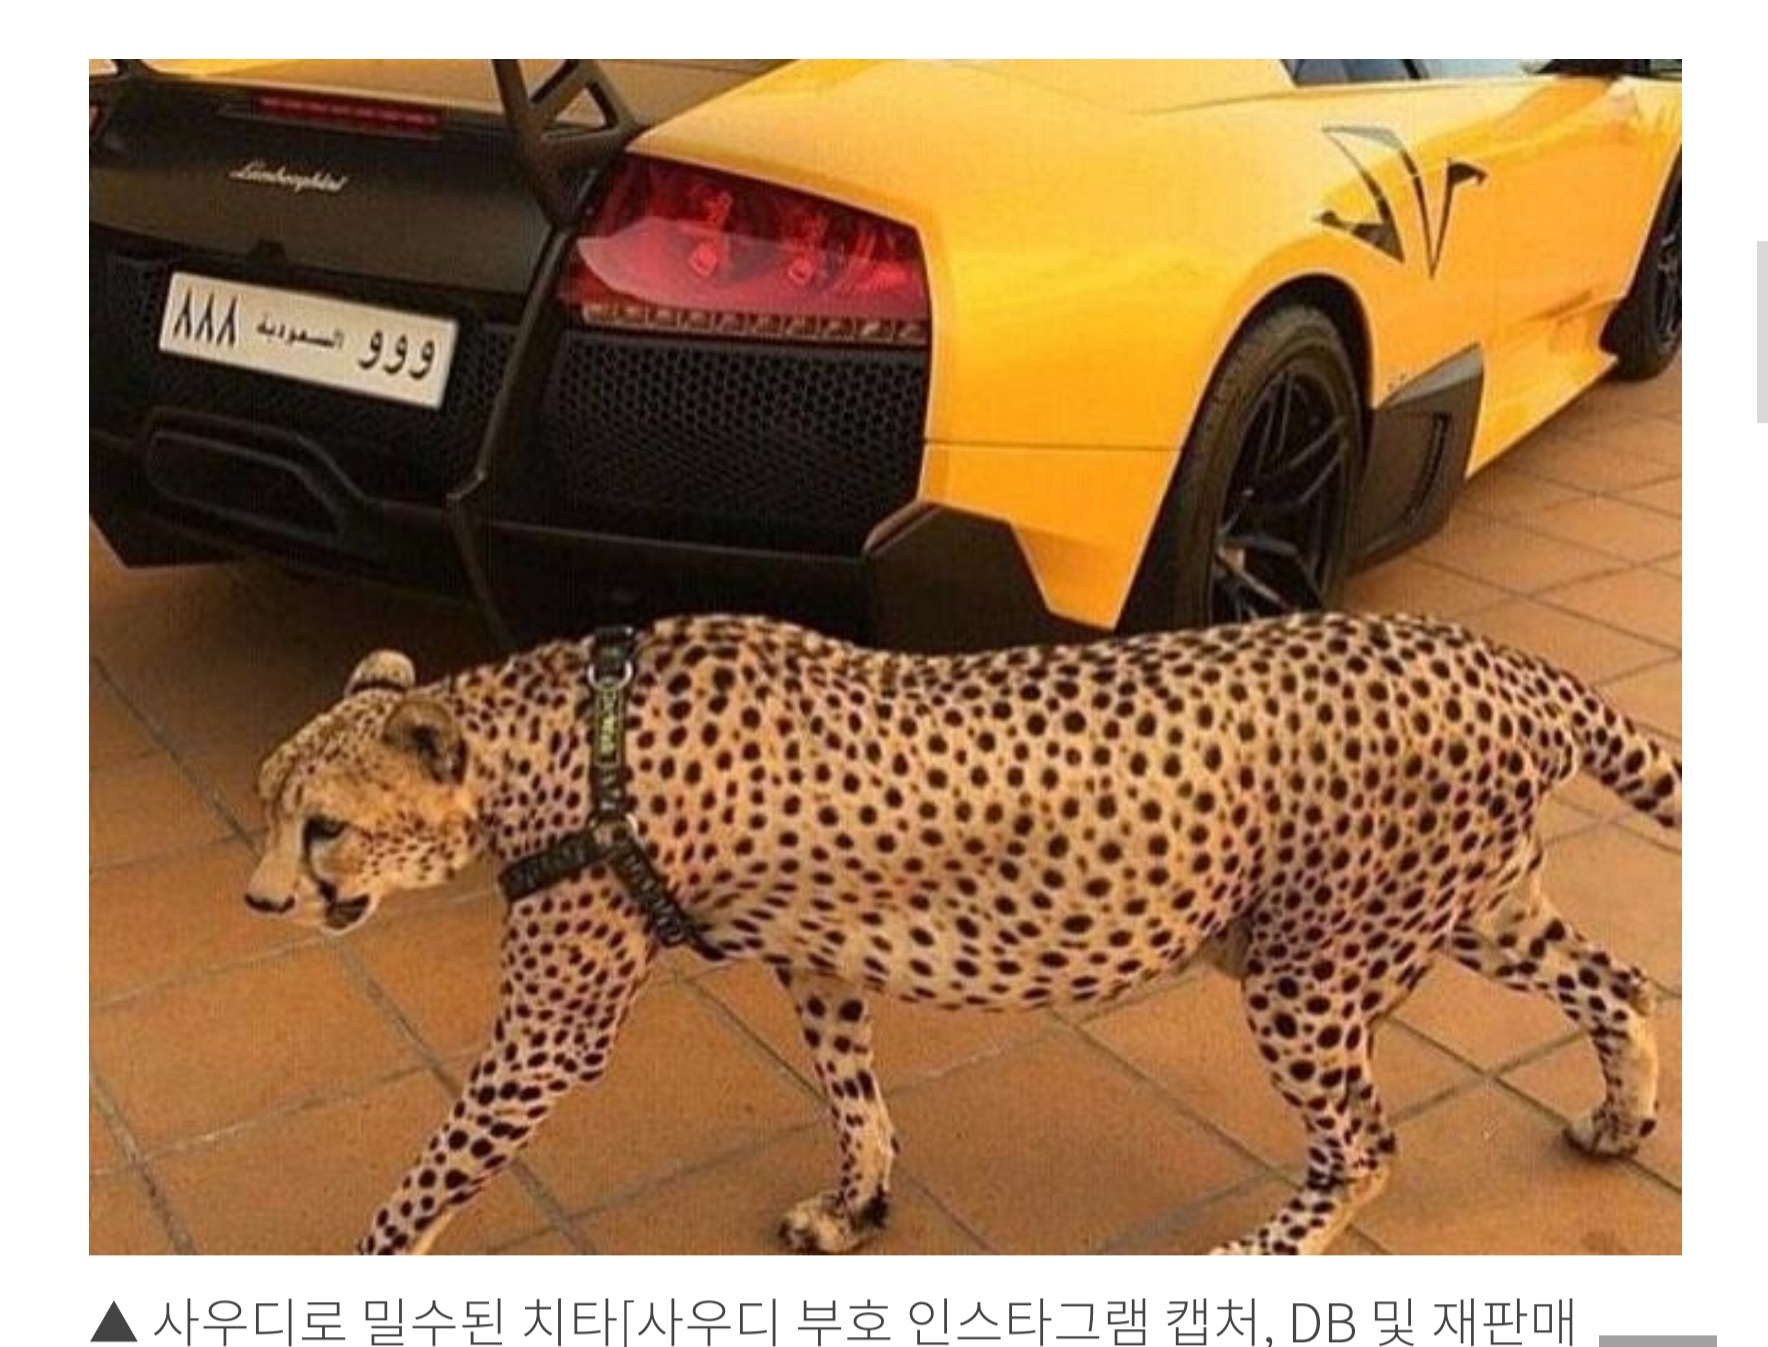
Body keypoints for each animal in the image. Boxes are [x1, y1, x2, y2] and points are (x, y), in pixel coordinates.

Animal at [245, 610, 1680, 1255]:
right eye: (268, 806)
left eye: (324, 827)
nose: (259, 901)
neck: (559, 732)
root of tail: (1497, 657)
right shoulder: (819, 956)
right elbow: (852, 1092)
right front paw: (857, 1203)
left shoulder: (551, 1033)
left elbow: (426, 1175)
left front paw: (367, 1269)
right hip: (1476, 908)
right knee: (1620, 979)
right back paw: (1620, 1121)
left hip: (1311, 971)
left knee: (1367, 1142)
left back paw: (1261, 1256)